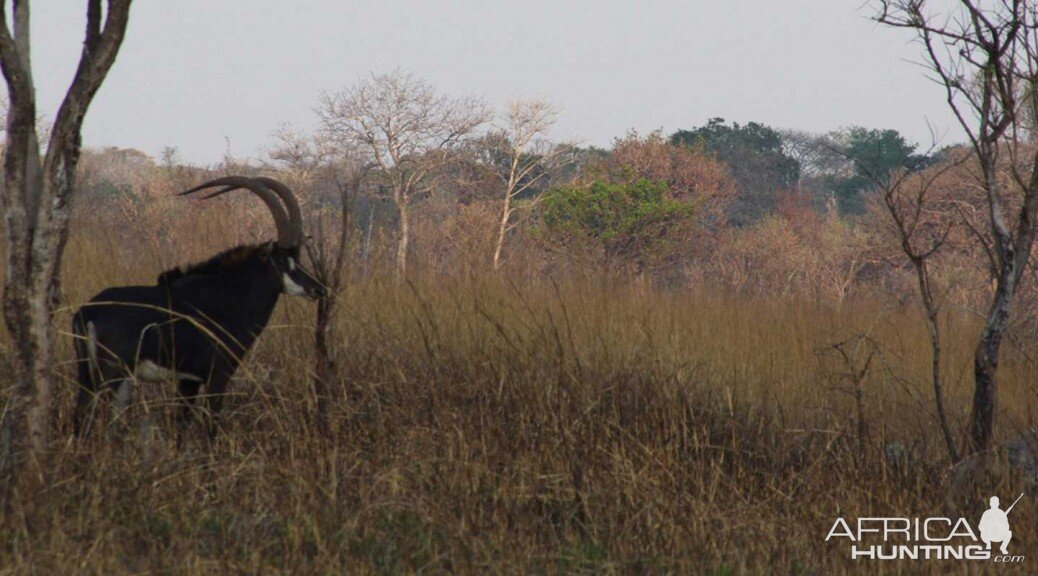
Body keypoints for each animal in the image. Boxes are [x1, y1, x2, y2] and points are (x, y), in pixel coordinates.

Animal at [72, 175, 323, 437]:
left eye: (299, 257)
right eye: (282, 261)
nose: (319, 289)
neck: (230, 295)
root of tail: (88, 311)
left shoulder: (188, 380)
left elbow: (183, 423)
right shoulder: (218, 375)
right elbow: (210, 426)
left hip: (91, 373)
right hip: (111, 372)